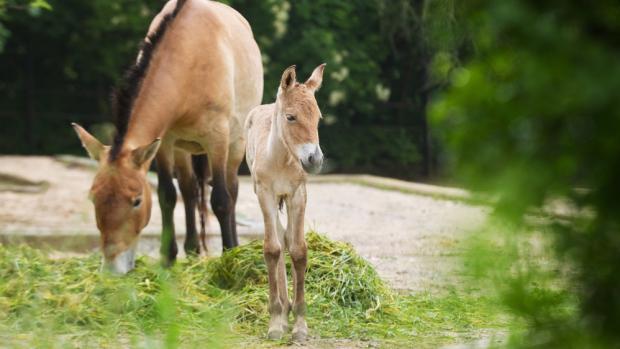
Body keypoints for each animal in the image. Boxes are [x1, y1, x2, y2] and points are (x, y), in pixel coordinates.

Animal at [71, 0, 262, 272]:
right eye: (93, 197)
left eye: (137, 200)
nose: (112, 268)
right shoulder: (164, 143)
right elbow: (167, 195)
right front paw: (167, 257)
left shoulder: (218, 140)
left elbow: (221, 200)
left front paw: (229, 257)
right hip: (182, 149)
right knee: (189, 189)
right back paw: (192, 249)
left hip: (235, 145)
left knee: (232, 189)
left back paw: (233, 246)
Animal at [245, 64, 326, 342]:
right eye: (291, 117)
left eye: (318, 118)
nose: (314, 159)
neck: (280, 159)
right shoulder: (265, 193)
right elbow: (272, 249)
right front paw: (276, 322)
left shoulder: (298, 194)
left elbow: (299, 250)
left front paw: (300, 325)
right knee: (279, 241)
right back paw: (282, 310)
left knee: (287, 238)